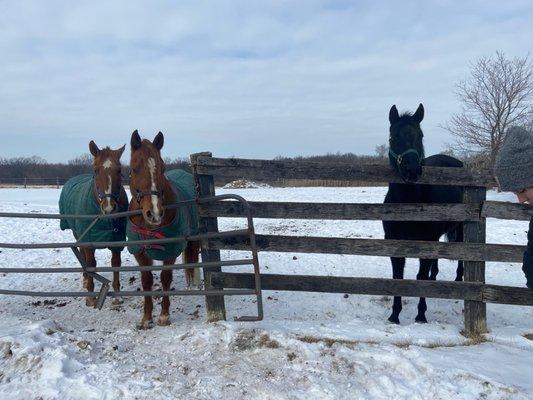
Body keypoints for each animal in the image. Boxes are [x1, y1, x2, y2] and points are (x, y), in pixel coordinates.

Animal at [58, 141, 128, 306]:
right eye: (95, 170)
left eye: (119, 170)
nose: (109, 207)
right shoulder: (88, 241)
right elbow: (90, 263)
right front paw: (90, 296)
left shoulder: (117, 240)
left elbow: (116, 263)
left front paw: (117, 296)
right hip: (78, 233)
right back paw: (85, 280)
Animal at [126, 130, 200, 330]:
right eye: (134, 168)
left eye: (162, 167)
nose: (155, 213)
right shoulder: (140, 253)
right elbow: (147, 281)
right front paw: (146, 318)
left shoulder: (170, 251)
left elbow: (166, 278)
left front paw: (164, 316)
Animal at [382, 104, 462, 324]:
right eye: (393, 137)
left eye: (420, 135)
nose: (412, 170)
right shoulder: (394, 242)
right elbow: (398, 277)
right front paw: (394, 315)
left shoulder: (425, 241)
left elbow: (420, 277)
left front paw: (420, 315)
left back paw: (459, 280)